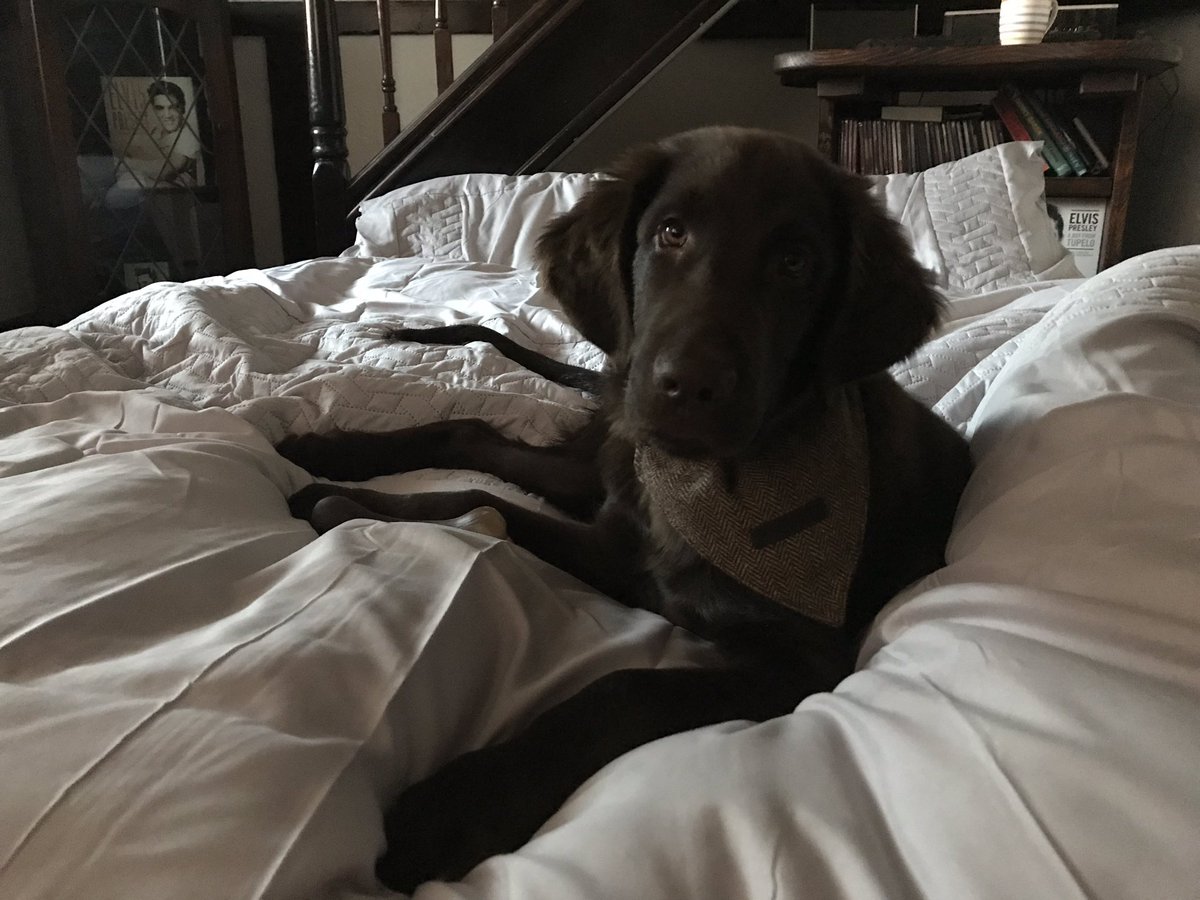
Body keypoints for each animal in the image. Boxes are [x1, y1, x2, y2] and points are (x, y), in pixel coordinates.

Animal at [280, 127, 974, 897]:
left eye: (796, 262)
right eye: (670, 232)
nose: (686, 386)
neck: (711, 490)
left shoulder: (802, 662)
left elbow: (625, 685)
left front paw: (458, 805)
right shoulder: (621, 545)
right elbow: (477, 501)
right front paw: (348, 501)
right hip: (605, 463)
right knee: (473, 438)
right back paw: (328, 453)